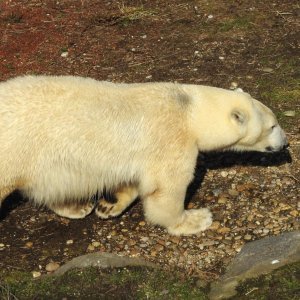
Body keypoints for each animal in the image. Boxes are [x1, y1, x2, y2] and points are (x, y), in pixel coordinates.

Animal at [0, 76, 288, 236]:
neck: (189, 109)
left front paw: (109, 205)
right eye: (273, 126)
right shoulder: (171, 139)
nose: (285, 144)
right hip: (14, 150)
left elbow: (133, 179)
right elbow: (166, 188)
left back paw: (77, 206)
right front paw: (195, 219)